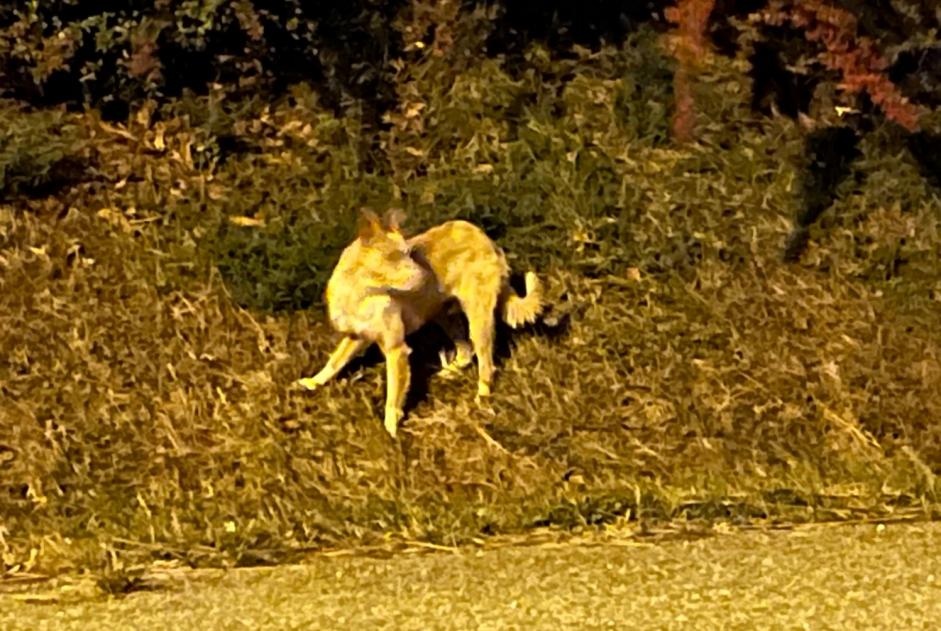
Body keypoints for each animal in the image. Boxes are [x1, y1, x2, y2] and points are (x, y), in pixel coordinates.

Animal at [294, 210, 544, 436]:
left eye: (410, 254)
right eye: (395, 256)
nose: (425, 275)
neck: (361, 293)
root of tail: (486, 238)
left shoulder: (396, 350)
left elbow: (393, 395)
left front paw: (391, 429)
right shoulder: (356, 337)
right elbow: (334, 362)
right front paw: (313, 382)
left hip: (477, 319)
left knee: (485, 363)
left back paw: (482, 397)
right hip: (443, 315)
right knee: (465, 349)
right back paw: (452, 370)